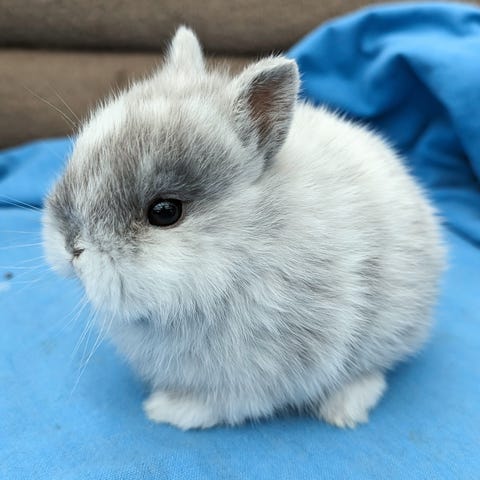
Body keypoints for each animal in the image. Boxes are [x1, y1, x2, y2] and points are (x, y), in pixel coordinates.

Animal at [42, 27, 445, 430]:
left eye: (165, 212)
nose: (72, 247)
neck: (249, 247)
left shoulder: (260, 374)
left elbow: (229, 403)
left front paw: (167, 409)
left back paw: (343, 410)